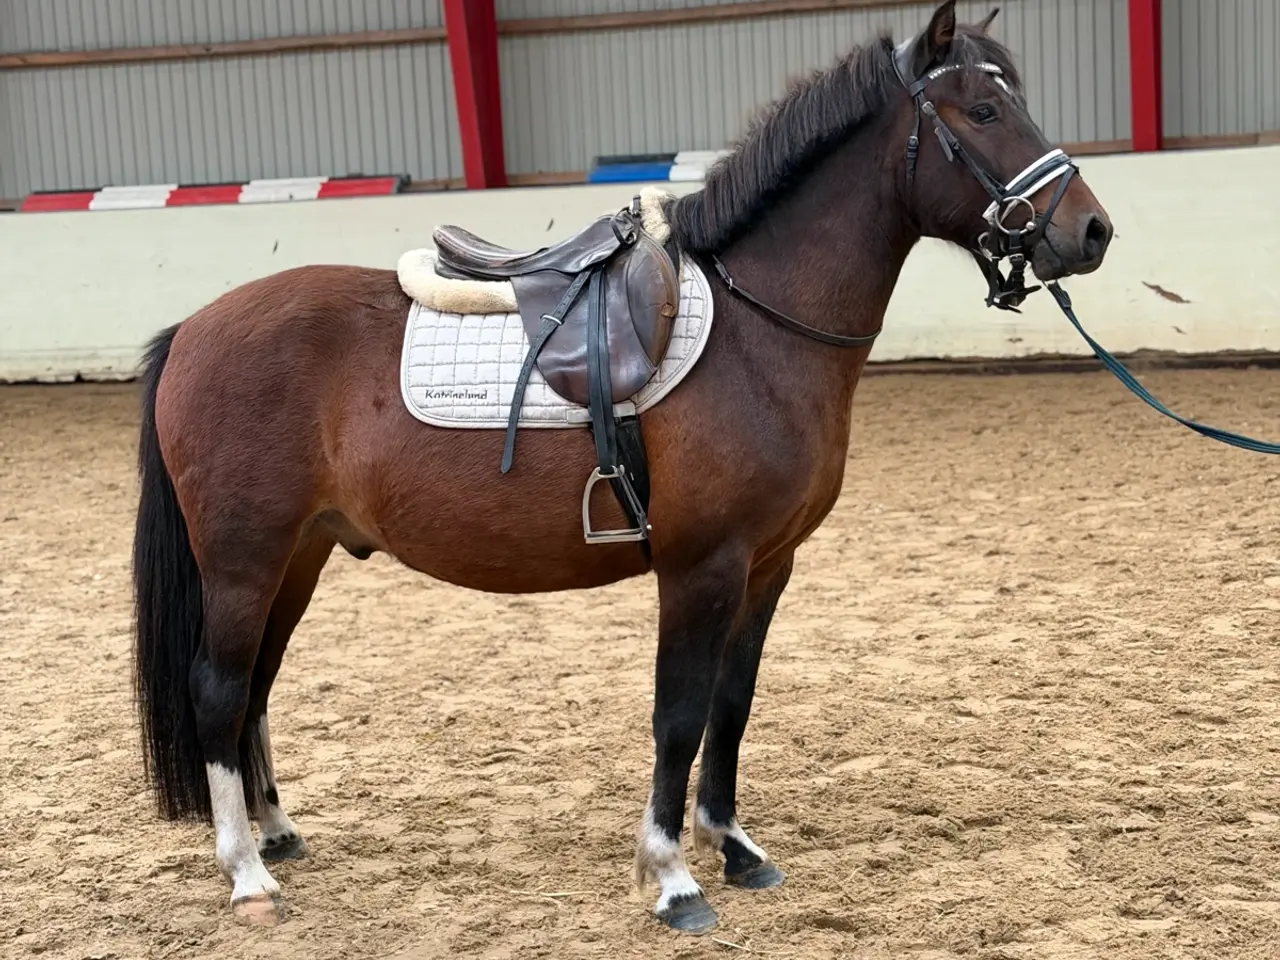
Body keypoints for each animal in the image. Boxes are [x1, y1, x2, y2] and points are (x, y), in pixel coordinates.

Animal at [130, 0, 1112, 935]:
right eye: (984, 111)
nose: (1092, 230)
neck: (759, 330)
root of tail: (193, 330)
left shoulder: (767, 567)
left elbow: (731, 705)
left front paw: (734, 847)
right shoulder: (700, 567)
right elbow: (678, 715)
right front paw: (674, 878)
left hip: (298, 555)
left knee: (256, 688)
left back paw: (276, 833)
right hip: (244, 560)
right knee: (218, 692)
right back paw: (246, 874)